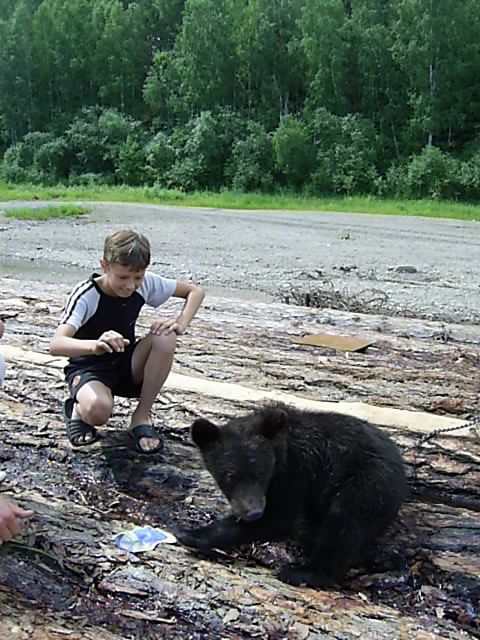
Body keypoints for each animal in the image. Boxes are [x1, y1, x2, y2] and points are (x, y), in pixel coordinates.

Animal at [177, 402, 407, 588]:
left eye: (261, 473)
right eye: (230, 475)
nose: (253, 512)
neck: (282, 450)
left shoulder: (295, 472)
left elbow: (279, 517)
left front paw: (191, 534)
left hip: (367, 483)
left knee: (345, 523)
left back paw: (302, 573)